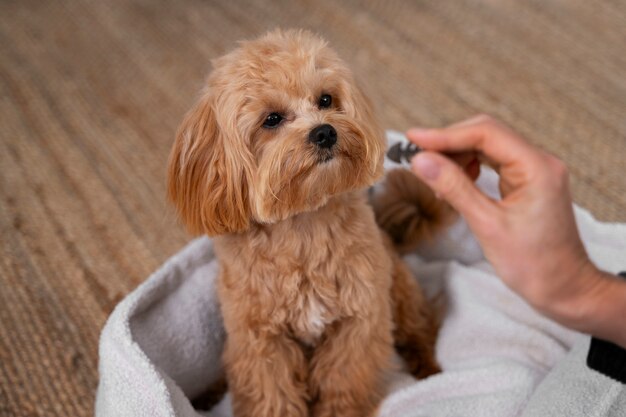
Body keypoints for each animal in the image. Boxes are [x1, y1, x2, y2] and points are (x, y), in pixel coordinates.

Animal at [168, 29, 446, 416]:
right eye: (271, 119)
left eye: (326, 99)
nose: (325, 132)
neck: (302, 225)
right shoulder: (261, 342)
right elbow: (272, 396)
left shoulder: (358, 323)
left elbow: (343, 385)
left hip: (400, 293)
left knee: (422, 327)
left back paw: (428, 369)